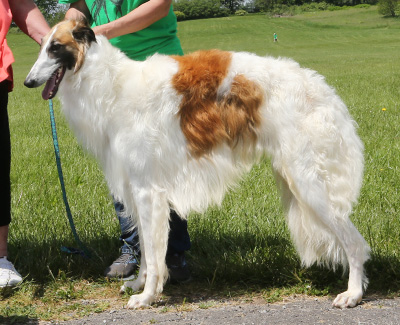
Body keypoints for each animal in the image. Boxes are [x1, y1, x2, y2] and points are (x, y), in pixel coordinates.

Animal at [24, 19, 368, 308]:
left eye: (56, 47)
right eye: (42, 45)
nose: (28, 81)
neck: (113, 86)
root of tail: (321, 88)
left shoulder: (149, 190)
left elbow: (154, 251)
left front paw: (147, 296)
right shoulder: (136, 188)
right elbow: (146, 250)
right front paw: (139, 284)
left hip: (308, 182)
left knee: (355, 243)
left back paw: (352, 294)